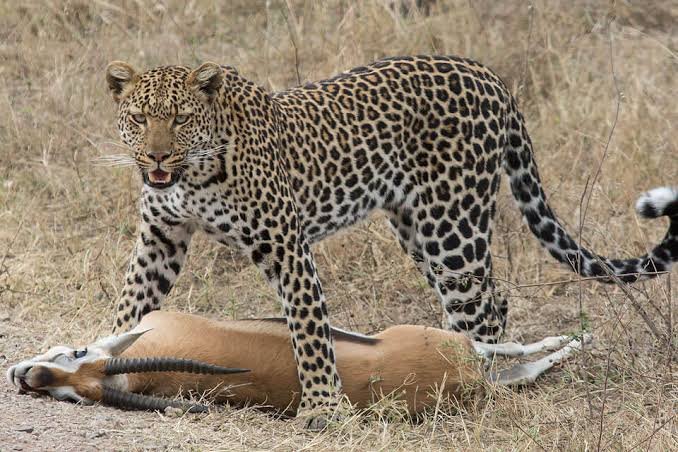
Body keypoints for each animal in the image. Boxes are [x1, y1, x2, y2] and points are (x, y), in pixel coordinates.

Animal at [104, 55, 677, 428]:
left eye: (180, 118)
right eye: (139, 118)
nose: (156, 157)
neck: (193, 175)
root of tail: (488, 74)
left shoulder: (285, 244)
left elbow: (308, 329)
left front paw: (323, 408)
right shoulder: (160, 238)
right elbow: (131, 304)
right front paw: (104, 357)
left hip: (453, 226)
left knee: (483, 311)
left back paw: (472, 385)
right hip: (417, 228)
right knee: (485, 305)